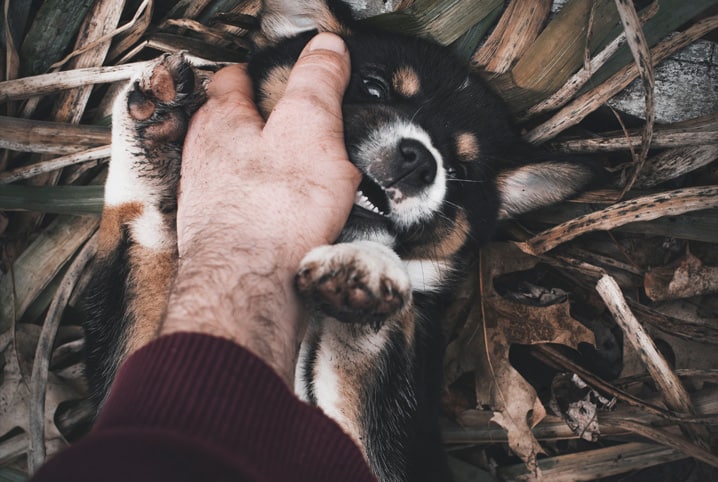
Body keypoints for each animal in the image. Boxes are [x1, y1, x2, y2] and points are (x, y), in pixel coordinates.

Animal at [83, 1, 600, 480]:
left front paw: (367, 268)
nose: (421, 162)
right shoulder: (140, 378)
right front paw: (156, 133)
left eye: (458, 171)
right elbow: (145, 230)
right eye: (372, 87)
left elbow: (371, 339)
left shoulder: (382, 440)